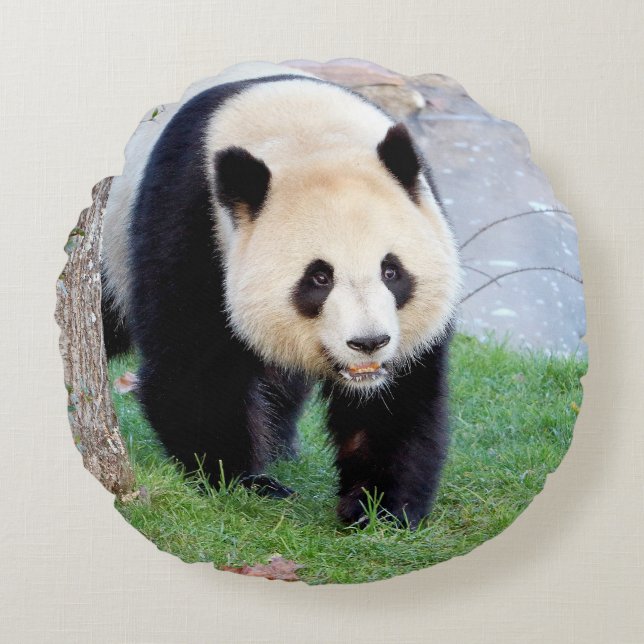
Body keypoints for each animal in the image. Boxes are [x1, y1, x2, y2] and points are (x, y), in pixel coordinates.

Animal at [101, 63, 461, 528]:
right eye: (319, 278)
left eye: (391, 271)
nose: (368, 342)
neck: (308, 138)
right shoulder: (192, 215)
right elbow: (193, 364)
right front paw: (242, 481)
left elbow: (400, 396)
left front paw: (379, 507)